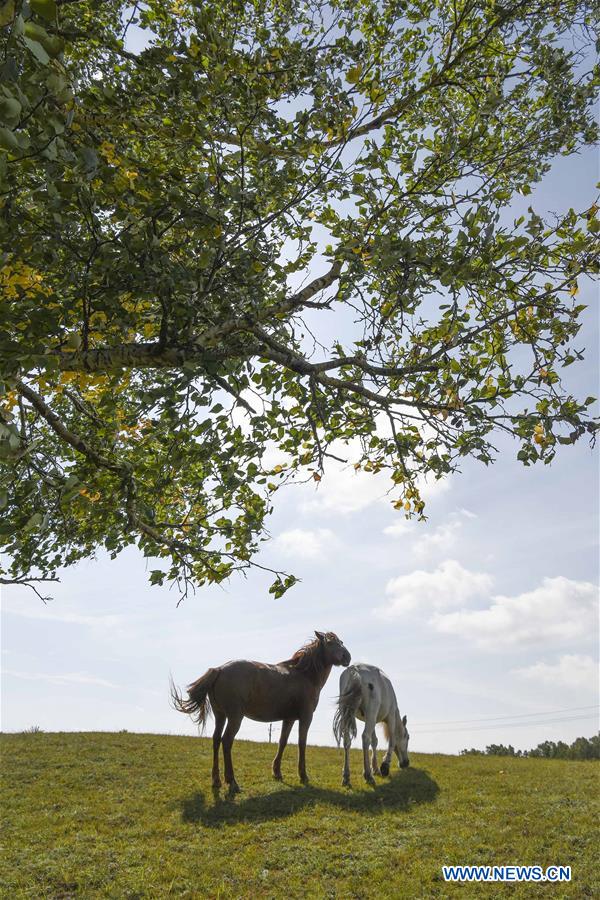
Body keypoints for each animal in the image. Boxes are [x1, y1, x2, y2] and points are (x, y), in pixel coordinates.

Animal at [169, 628, 350, 792]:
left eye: (340, 641)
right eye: (330, 642)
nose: (347, 657)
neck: (304, 674)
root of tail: (219, 669)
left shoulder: (289, 718)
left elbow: (282, 742)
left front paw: (277, 772)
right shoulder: (306, 717)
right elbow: (301, 743)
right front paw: (303, 776)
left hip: (220, 716)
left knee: (216, 740)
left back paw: (216, 780)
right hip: (235, 717)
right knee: (226, 741)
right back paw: (232, 782)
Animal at [330, 660, 410, 788]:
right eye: (407, 737)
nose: (406, 763)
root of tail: (355, 670)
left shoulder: (373, 719)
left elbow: (374, 741)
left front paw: (376, 768)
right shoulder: (391, 716)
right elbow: (392, 740)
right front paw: (384, 766)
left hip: (349, 714)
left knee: (347, 741)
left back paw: (346, 777)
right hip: (371, 714)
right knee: (365, 738)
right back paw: (368, 775)